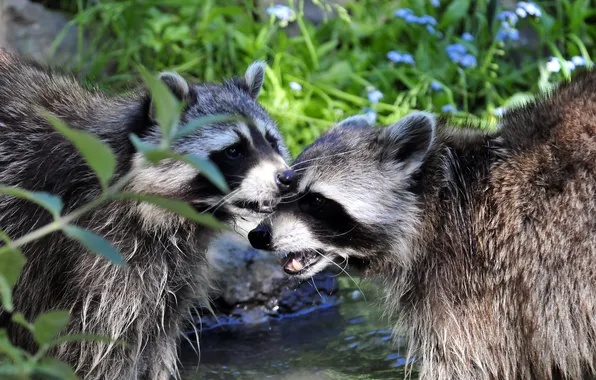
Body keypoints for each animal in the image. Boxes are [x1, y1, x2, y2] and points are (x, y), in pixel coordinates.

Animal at [0, 50, 296, 380]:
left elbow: (156, 338)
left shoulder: (166, 271)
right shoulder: (95, 254)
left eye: (271, 141)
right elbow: (97, 346)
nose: (287, 178)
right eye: (234, 151)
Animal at [249, 72, 596, 380]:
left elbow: (470, 364)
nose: (258, 235)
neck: (435, 200)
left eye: (316, 200)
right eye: (284, 187)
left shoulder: (478, 276)